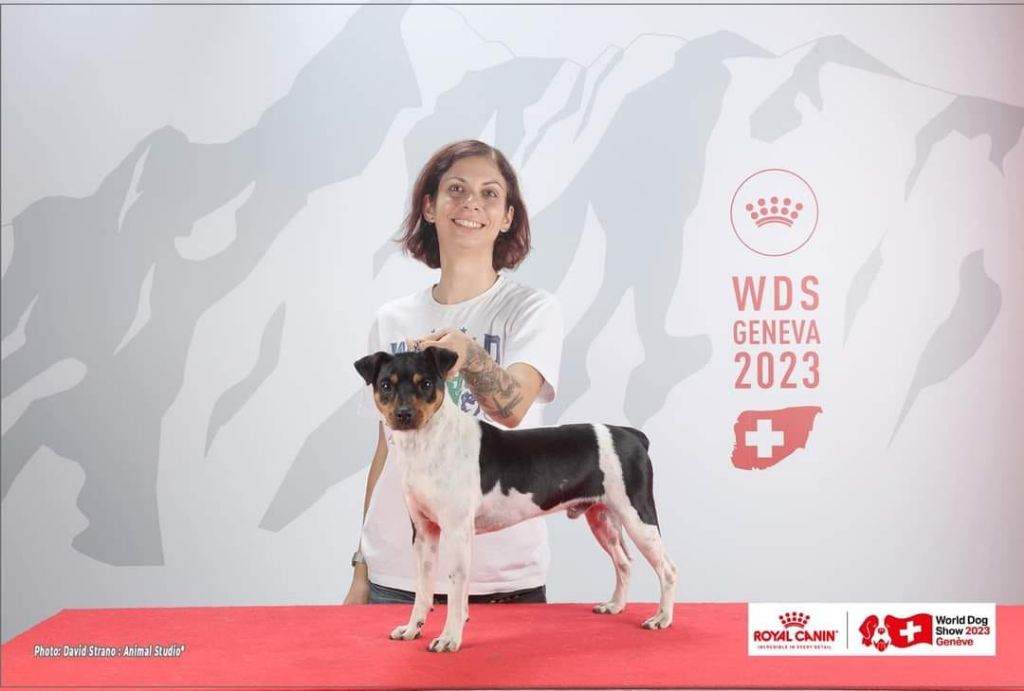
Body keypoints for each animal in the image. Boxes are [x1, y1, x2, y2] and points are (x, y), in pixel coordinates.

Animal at [355, 346, 678, 652]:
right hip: (603, 519)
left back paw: (661, 618)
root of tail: (631, 435)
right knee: (624, 562)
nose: (404, 414)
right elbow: (422, 591)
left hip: (638, 517)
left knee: (668, 569)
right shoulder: (423, 533)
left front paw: (449, 639)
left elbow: (455, 590)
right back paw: (615, 606)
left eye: (426, 384)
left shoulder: (457, 532)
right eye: (385, 385)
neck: (429, 443)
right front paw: (413, 629)